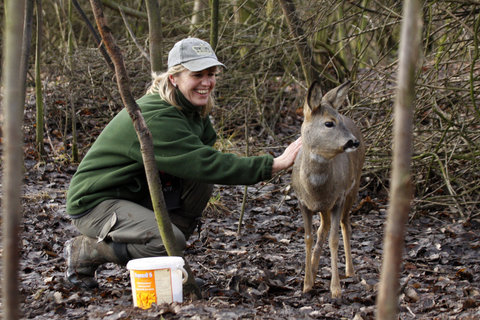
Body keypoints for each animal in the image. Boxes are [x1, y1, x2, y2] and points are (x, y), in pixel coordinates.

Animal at [290, 79, 366, 298]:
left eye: (338, 120)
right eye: (329, 123)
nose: (353, 142)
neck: (314, 188)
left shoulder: (338, 198)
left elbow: (334, 239)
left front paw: (336, 289)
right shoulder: (302, 202)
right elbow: (308, 237)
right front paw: (306, 284)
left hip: (353, 187)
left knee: (344, 224)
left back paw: (350, 270)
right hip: (325, 207)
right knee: (323, 228)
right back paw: (314, 269)